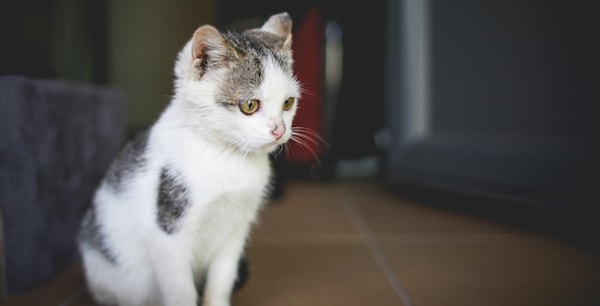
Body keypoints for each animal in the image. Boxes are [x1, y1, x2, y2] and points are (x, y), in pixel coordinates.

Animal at [78, 11, 302, 306]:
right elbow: (180, 290)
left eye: (288, 103)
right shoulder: (167, 235)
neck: (226, 157)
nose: (279, 130)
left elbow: (222, 277)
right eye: (249, 105)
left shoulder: (236, 229)